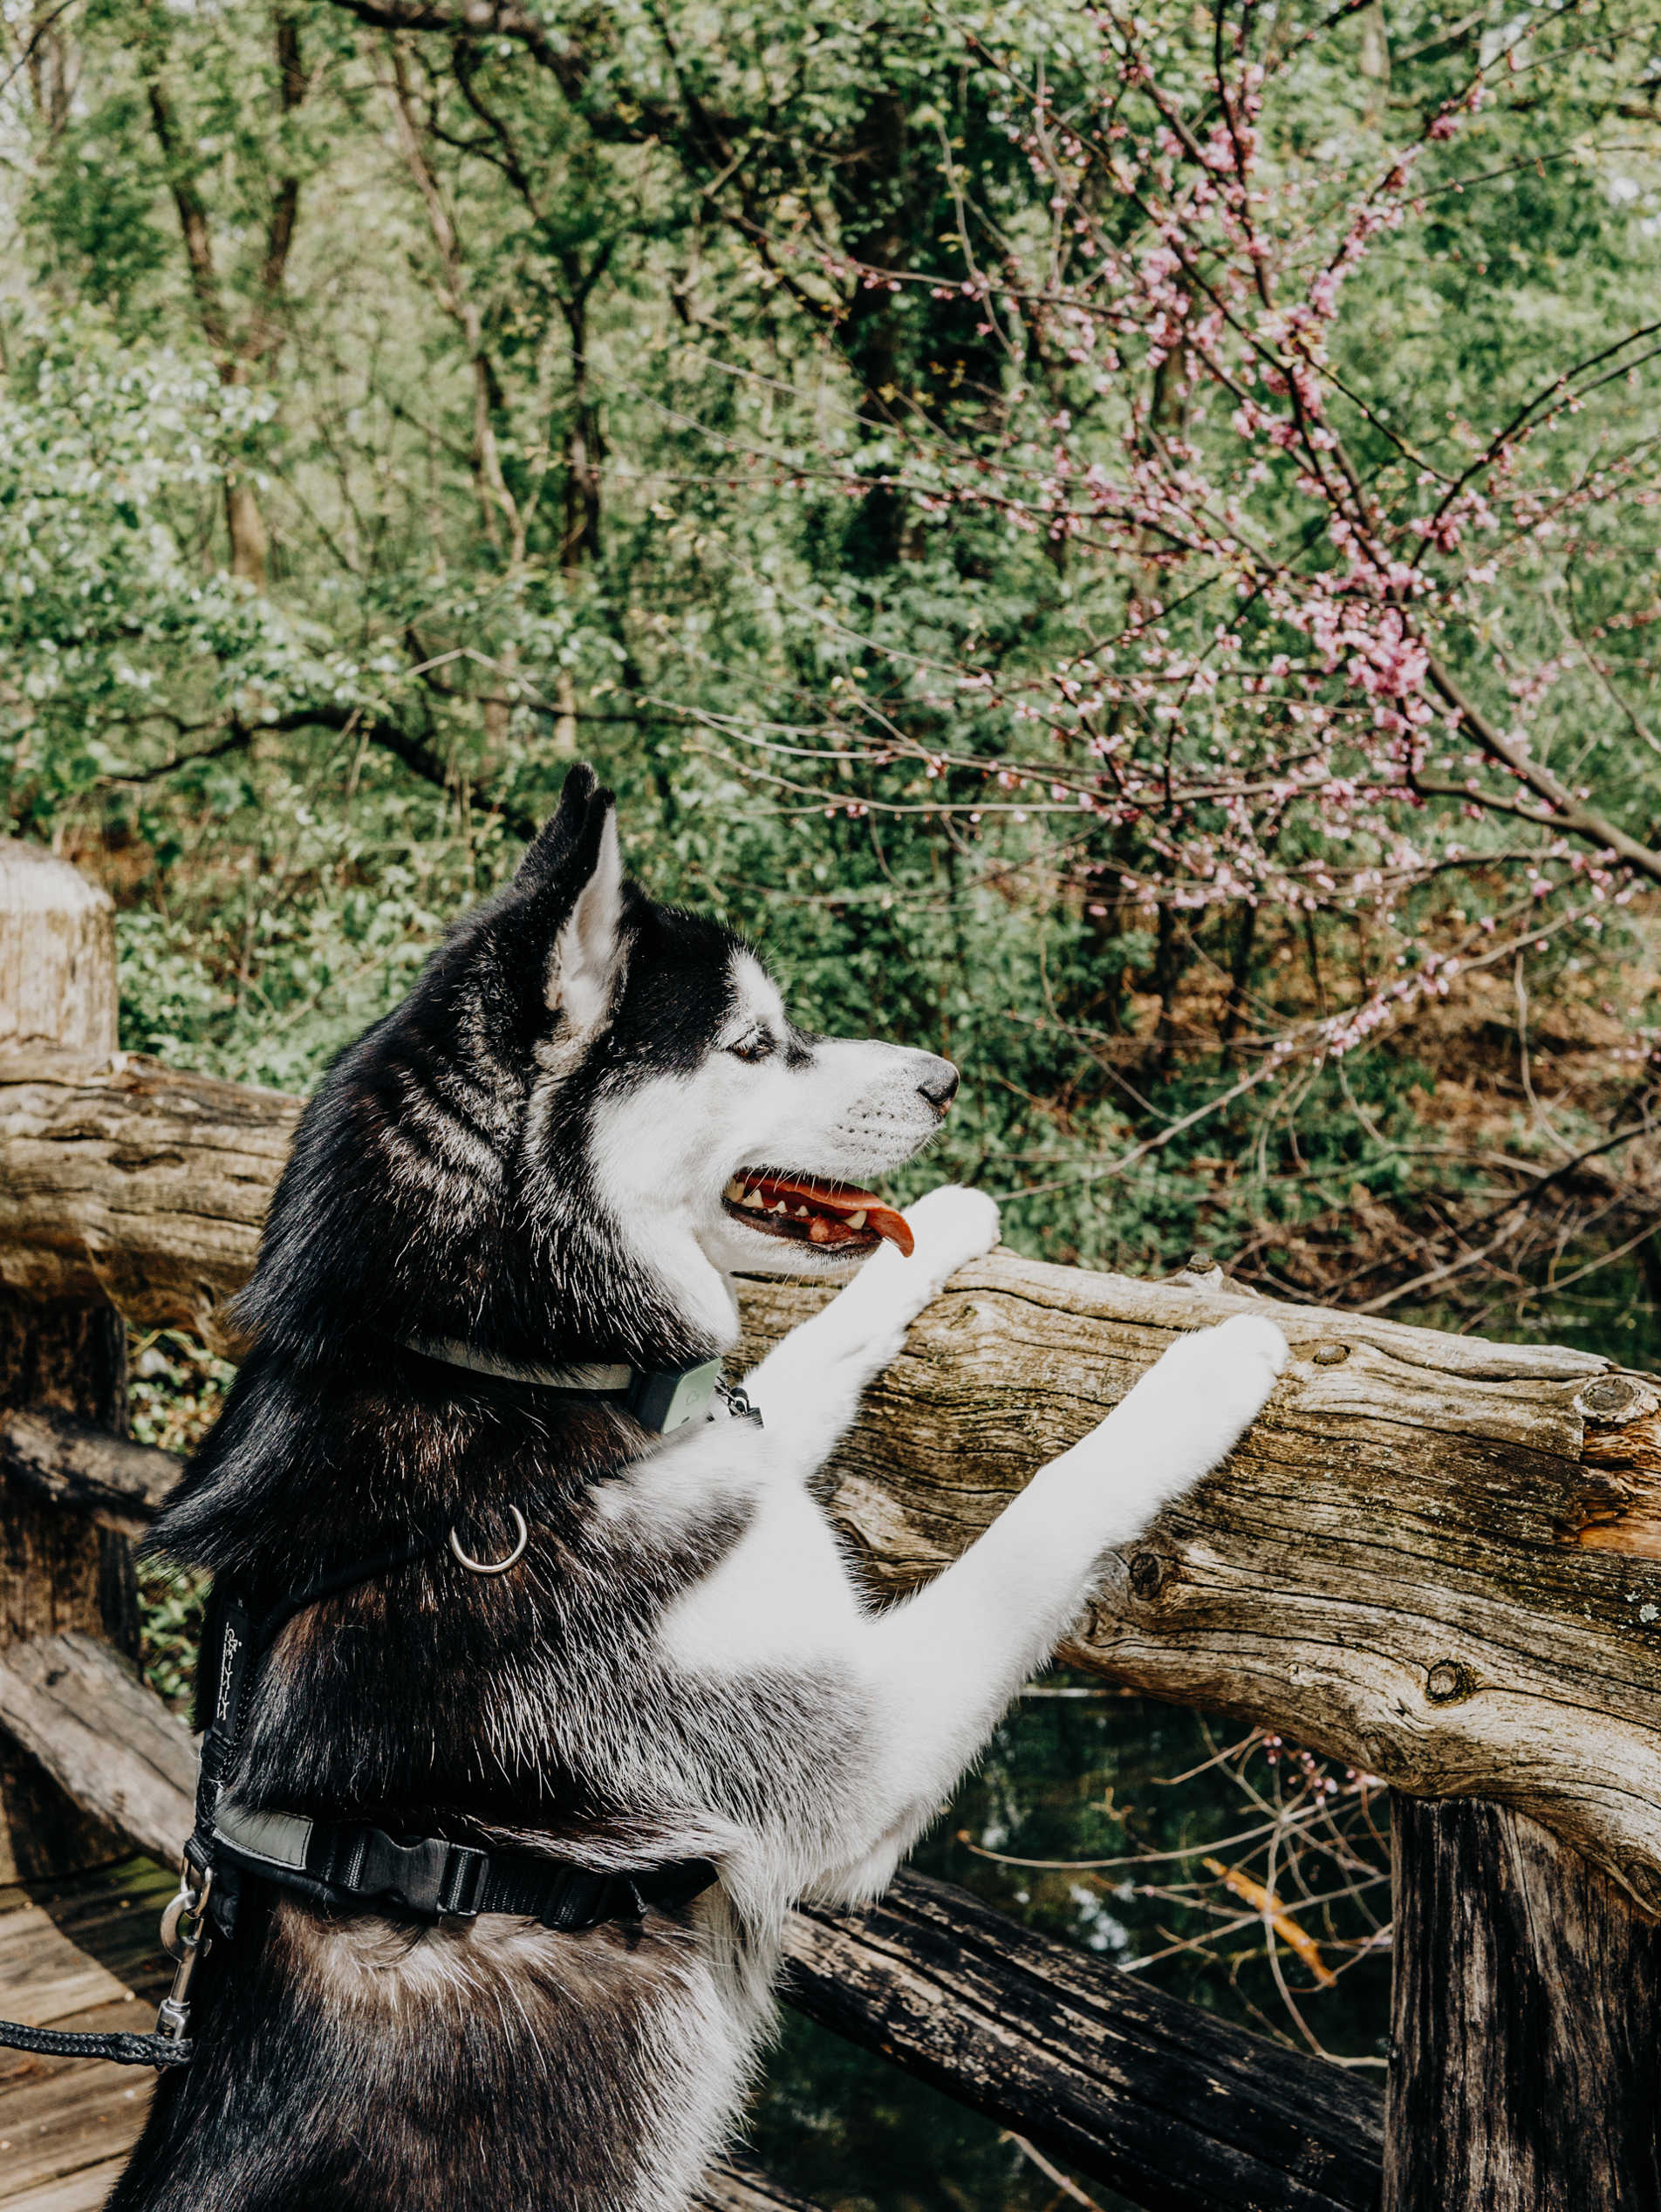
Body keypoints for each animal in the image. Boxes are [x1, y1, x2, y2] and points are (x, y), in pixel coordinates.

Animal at [113, 765, 1282, 2212]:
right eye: (755, 1044)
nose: (946, 1079)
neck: (507, 1375)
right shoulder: (852, 1762)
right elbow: (1046, 1506)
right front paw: (1204, 1369)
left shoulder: (726, 1445)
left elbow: (803, 1357)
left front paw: (936, 1236)